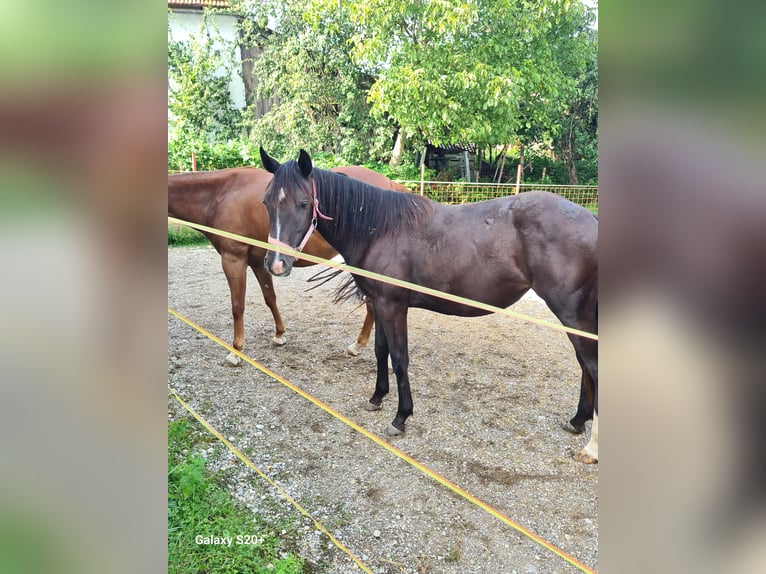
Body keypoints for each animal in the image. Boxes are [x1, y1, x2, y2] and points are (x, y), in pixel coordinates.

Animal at [167, 164, 408, 366]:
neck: (221, 195)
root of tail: (390, 185)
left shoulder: (233, 259)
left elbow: (237, 306)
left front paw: (235, 351)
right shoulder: (260, 263)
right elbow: (270, 298)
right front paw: (279, 334)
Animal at [260, 148, 600, 464]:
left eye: (303, 203)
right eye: (267, 202)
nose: (276, 264)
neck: (380, 230)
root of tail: (592, 219)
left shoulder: (393, 306)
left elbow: (399, 359)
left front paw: (400, 417)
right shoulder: (379, 304)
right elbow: (380, 352)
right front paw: (377, 397)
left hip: (572, 314)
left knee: (593, 365)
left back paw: (591, 448)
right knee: (585, 365)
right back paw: (577, 420)